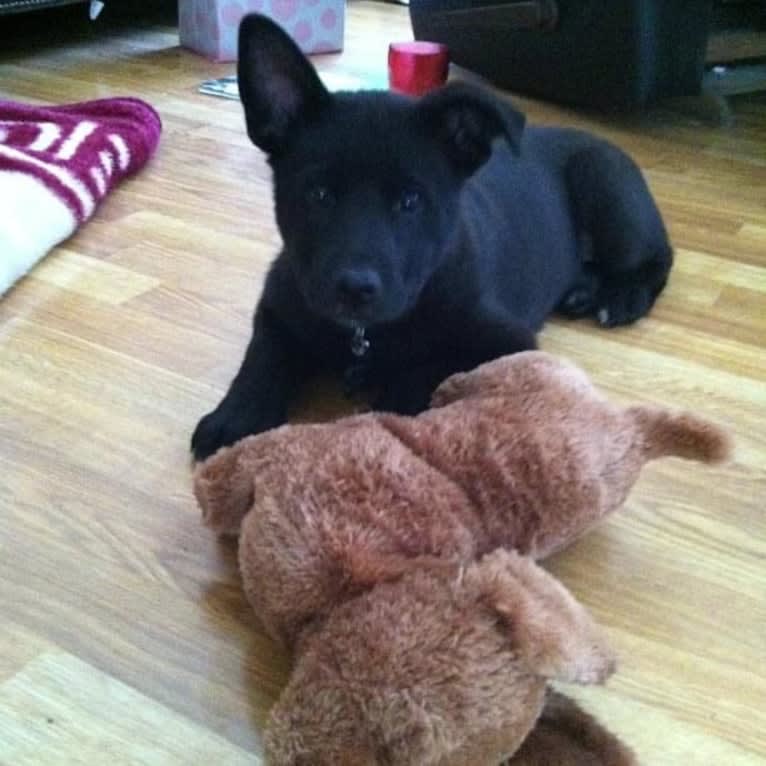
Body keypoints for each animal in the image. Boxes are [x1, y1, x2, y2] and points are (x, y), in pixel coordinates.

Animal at [190, 15, 672, 462]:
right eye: (319, 195)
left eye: (410, 201)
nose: (354, 288)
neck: (364, 335)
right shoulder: (278, 304)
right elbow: (263, 356)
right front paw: (236, 416)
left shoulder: (507, 342)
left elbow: (427, 368)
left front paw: (391, 408)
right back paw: (581, 292)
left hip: (607, 190)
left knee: (657, 258)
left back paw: (622, 297)